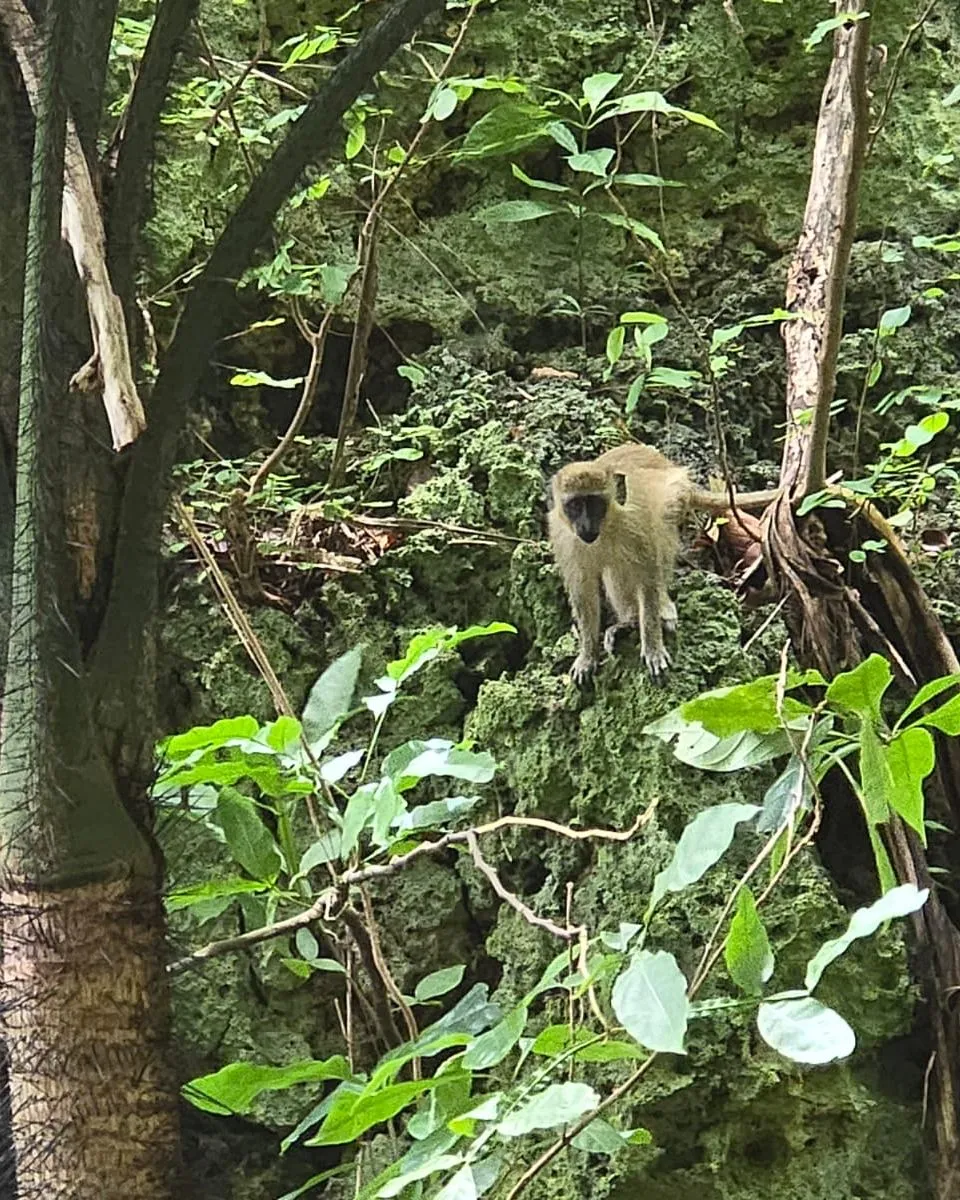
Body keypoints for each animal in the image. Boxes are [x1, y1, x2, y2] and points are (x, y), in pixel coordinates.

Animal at [547, 442, 776, 684]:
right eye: (575, 505)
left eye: (593, 504)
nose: (586, 525)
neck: (607, 526)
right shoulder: (563, 537)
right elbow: (583, 592)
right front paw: (587, 656)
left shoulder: (634, 527)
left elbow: (647, 579)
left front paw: (653, 647)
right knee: (616, 568)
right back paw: (629, 622)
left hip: (675, 496)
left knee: (661, 534)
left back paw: (662, 607)